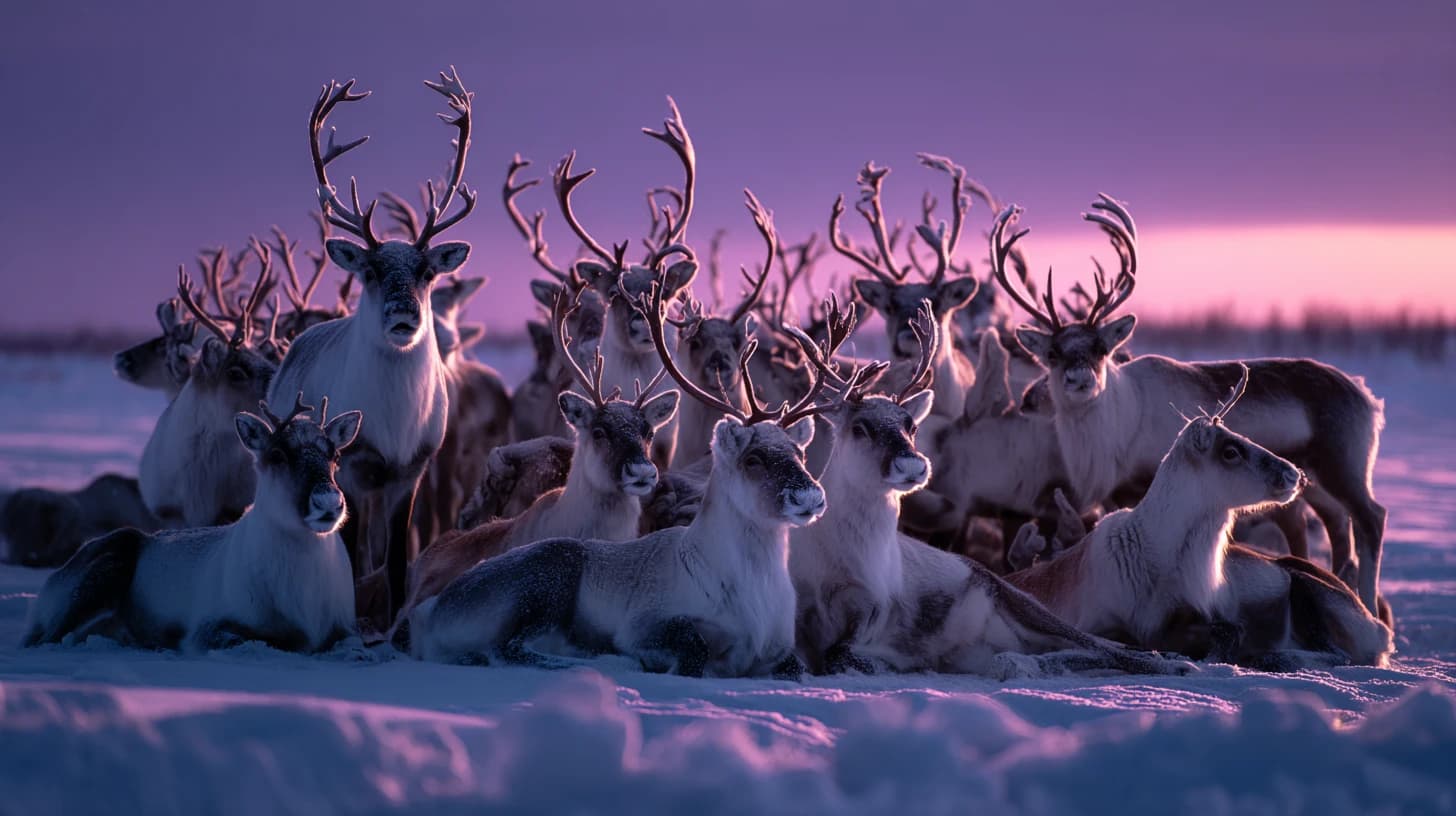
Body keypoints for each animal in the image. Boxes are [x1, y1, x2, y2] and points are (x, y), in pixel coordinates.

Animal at [24, 395, 362, 654]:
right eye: (277, 454)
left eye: (335, 455)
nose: (328, 503)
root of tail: (50, 583)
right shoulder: (207, 628)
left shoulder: (345, 628)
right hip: (103, 570)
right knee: (47, 638)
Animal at [265, 69, 477, 632]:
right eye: (372, 270)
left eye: (427, 272)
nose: (405, 316)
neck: (395, 421)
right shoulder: (355, 468)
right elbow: (354, 553)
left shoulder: (412, 472)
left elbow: (400, 558)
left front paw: (394, 618)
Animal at [785, 303, 1186, 678]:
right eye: (859, 428)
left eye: (911, 425)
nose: (913, 466)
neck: (841, 558)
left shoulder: (872, 613)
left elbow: (840, 653)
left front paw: (890, 662)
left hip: (1020, 601)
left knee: (1107, 647)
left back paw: (1176, 661)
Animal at [988, 196, 1390, 621]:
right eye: (1052, 353)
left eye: (1101, 349)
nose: (1080, 380)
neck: (1115, 427)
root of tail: (1366, 396)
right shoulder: (1115, 489)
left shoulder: (1143, 480)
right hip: (1314, 481)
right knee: (1341, 530)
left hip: (1344, 465)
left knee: (1372, 517)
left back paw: (1371, 608)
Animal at [1008, 368, 1394, 669]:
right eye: (1231, 451)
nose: (1294, 474)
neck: (1156, 556)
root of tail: (1381, 631)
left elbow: (1219, 633)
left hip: (1306, 586)